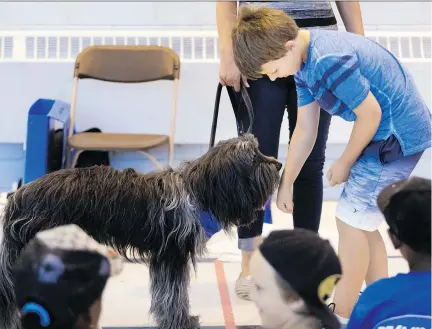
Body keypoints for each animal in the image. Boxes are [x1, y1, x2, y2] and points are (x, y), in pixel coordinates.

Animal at [0, 133, 282, 328]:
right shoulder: (171, 257)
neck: (197, 191)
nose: (278, 164)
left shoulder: (165, 259)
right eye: (254, 158)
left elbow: (166, 297)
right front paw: (181, 322)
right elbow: (173, 297)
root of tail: (18, 196)